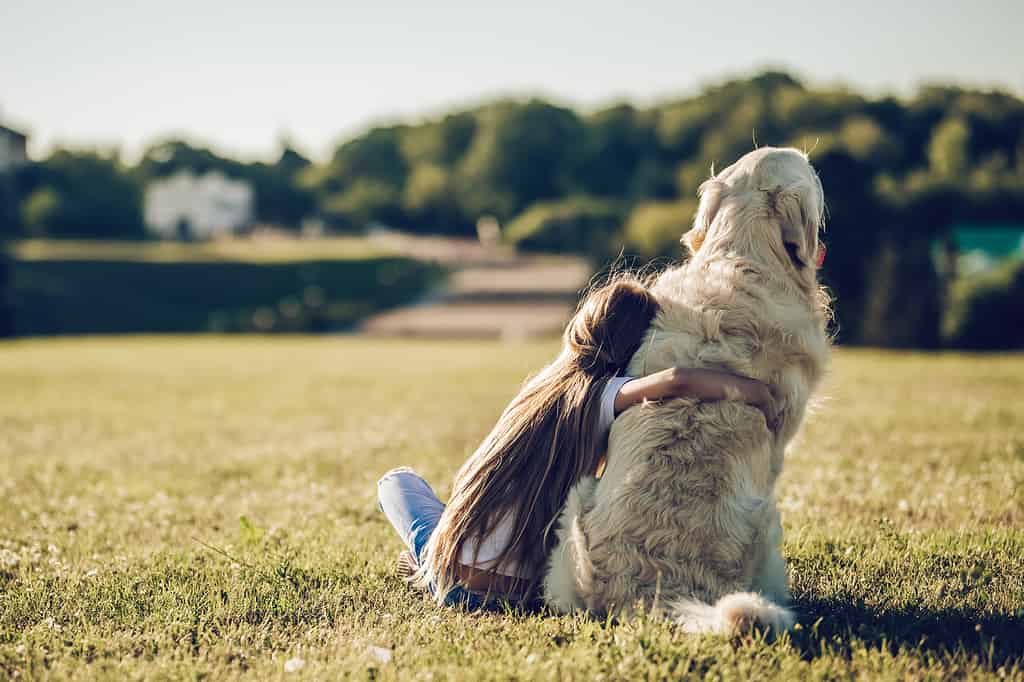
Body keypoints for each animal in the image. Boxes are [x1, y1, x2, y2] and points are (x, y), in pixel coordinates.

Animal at [544, 147, 831, 630]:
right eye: (811, 172)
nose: (815, 161)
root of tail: (653, 589)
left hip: (575, 505)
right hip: (768, 520)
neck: (742, 256)